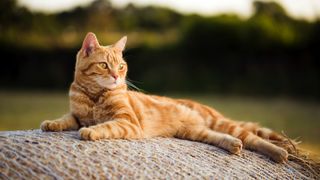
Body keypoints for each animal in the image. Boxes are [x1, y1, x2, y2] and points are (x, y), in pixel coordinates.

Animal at [41, 32, 288, 163]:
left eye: (121, 66)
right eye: (104, 65)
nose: (116, 76)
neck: (94, 97)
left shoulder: (128, 123)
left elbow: (106, 126)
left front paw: (91, 131)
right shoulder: (77, 115)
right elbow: (66, 119)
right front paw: (51, 124)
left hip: (221, 123)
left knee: (254, 138)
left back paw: (279, 153)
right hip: (195, 131)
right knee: (223, 137)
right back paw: (233, 145)